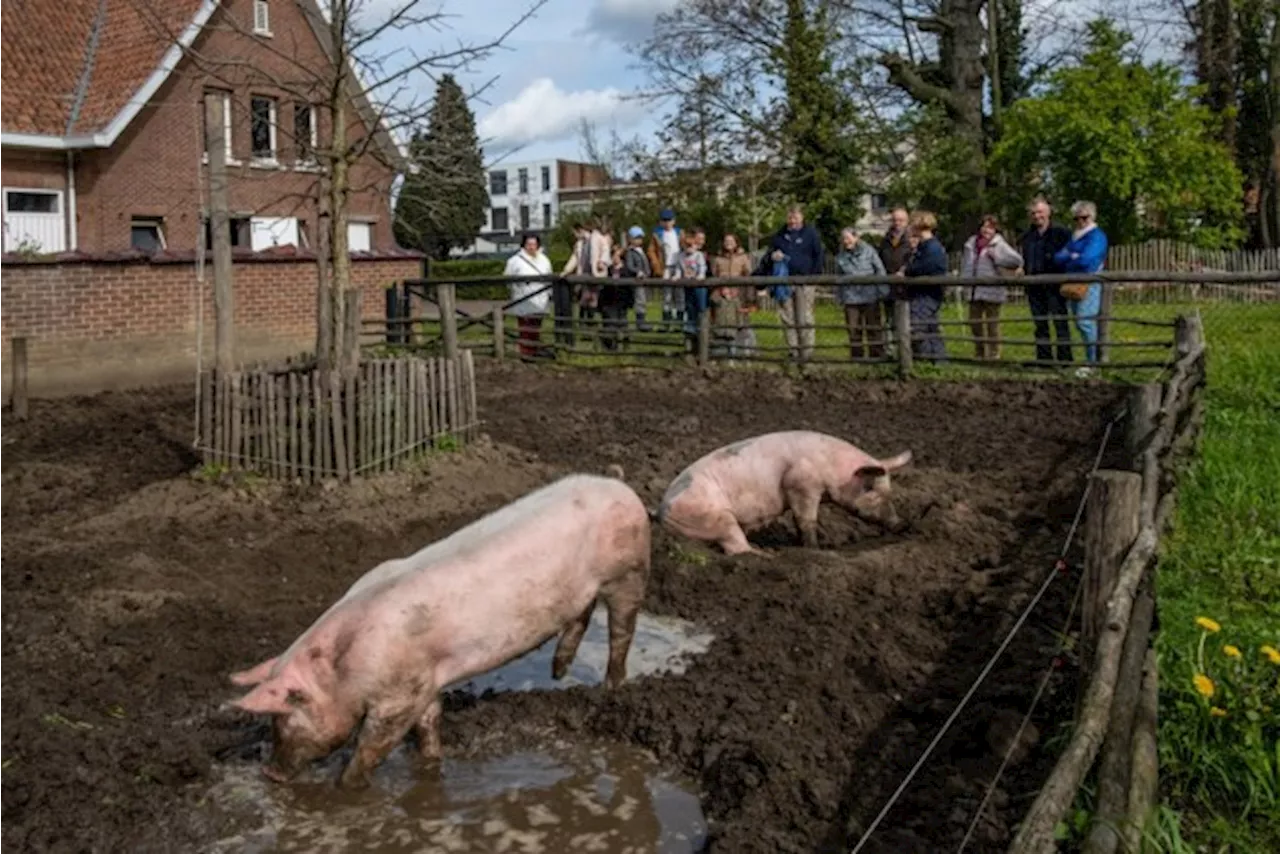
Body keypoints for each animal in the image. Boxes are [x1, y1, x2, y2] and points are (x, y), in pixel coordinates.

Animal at [221, 473, 655, 788]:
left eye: (285, 714)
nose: (269, 774)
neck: (345, 665)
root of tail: (623, 489)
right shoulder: (424, 680)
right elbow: (429, 723)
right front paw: (431, 764)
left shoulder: (398, 694)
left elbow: (375, 743)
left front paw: (347, 787)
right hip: (584, 590)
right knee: (581, 616)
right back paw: (557, 673)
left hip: (628, 572)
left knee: (622, 629)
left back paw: (611, 687)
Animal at [655, 430, 916, 558]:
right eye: (870, 488)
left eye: (890, 490)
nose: (901, 524)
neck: (833, 467)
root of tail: (661, 511)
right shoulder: (800, 484)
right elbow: (806, 520)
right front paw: (814, 549)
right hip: (714, 517)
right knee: (735, 548)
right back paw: (767, 554)